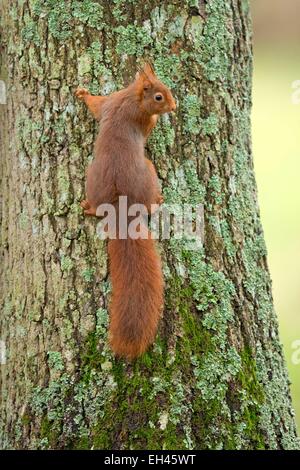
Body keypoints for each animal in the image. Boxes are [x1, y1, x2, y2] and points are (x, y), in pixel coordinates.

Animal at [75, 63, 177, 360]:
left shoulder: (110, 102)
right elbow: (149, 126)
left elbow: (96, 105)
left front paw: (82, 94)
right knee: (150, 202)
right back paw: (157, 200)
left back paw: (87, 209)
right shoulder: (139, 117)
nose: (175, 106)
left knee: (95, 208)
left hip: (92, 184)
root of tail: (121, 208)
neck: (131, 98)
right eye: (159, 97)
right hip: (149, 173)